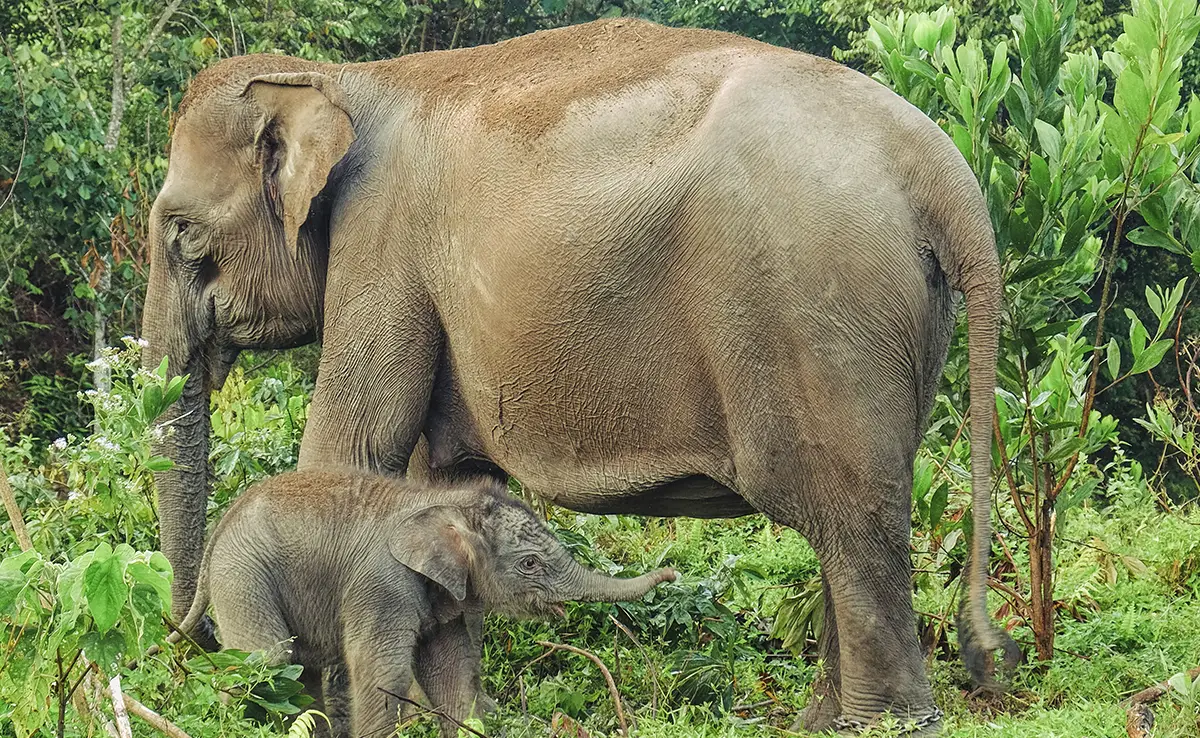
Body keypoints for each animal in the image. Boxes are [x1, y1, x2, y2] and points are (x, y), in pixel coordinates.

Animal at [178, 470, 681, 738]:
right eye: (530, 563)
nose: (673, 573)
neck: (443, 501)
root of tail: (218, 530)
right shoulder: (382, 585)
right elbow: (384, 672)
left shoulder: (447, 597)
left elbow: (452, 672)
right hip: (243, 576)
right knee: (267, 661)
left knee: (300, 673)